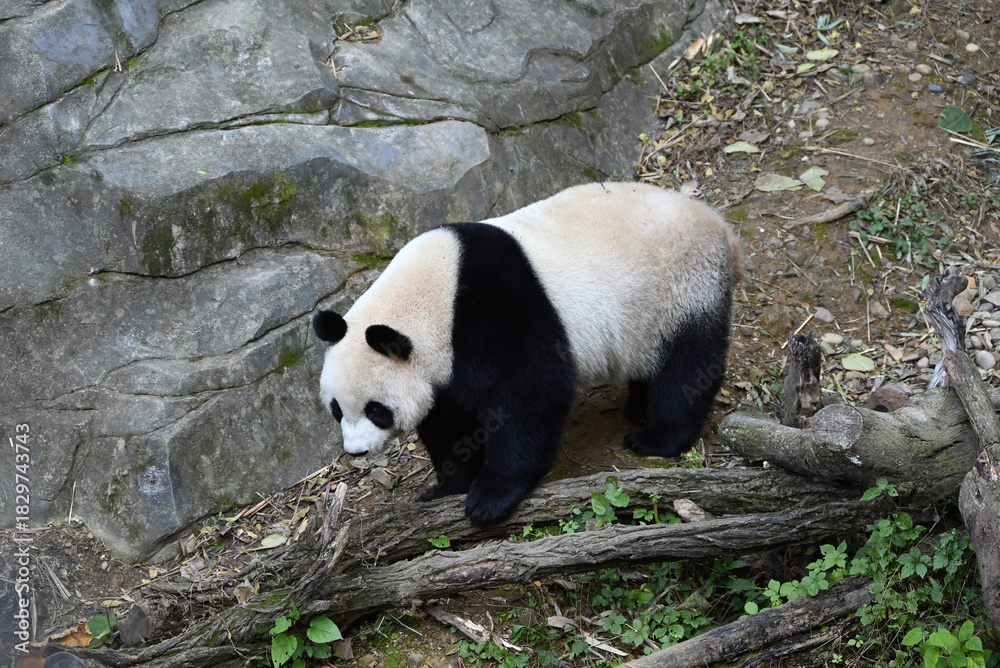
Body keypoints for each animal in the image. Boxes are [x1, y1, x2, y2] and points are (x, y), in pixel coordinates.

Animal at [313, 182, 743, 525]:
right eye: (336, 409)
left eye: (376, 410)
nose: (356, 451)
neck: (433, 297)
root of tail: (719, 225)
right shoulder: (443, 365)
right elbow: (448, 423)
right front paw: (446, 488)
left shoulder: (495, 315)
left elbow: (531, 395)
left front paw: (489, 498)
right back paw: (638, 407)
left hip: (683, 286)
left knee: (688, 366)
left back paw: (656, 437)